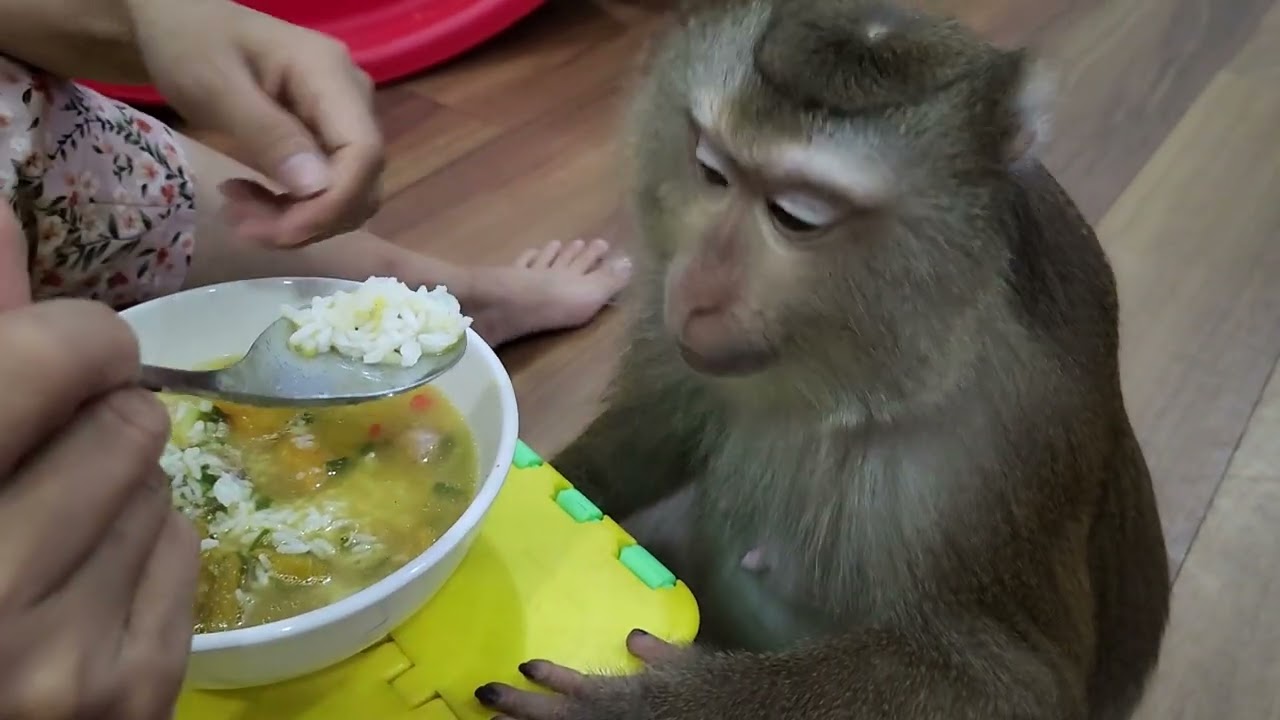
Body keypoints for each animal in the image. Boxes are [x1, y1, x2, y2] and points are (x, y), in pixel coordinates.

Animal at [474, 0, 1171, 718]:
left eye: (795, 217)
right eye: (713, 170)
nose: (695, 292)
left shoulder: (1009, 442)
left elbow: (1020, 683)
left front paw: (647, 706)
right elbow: (649, 436)